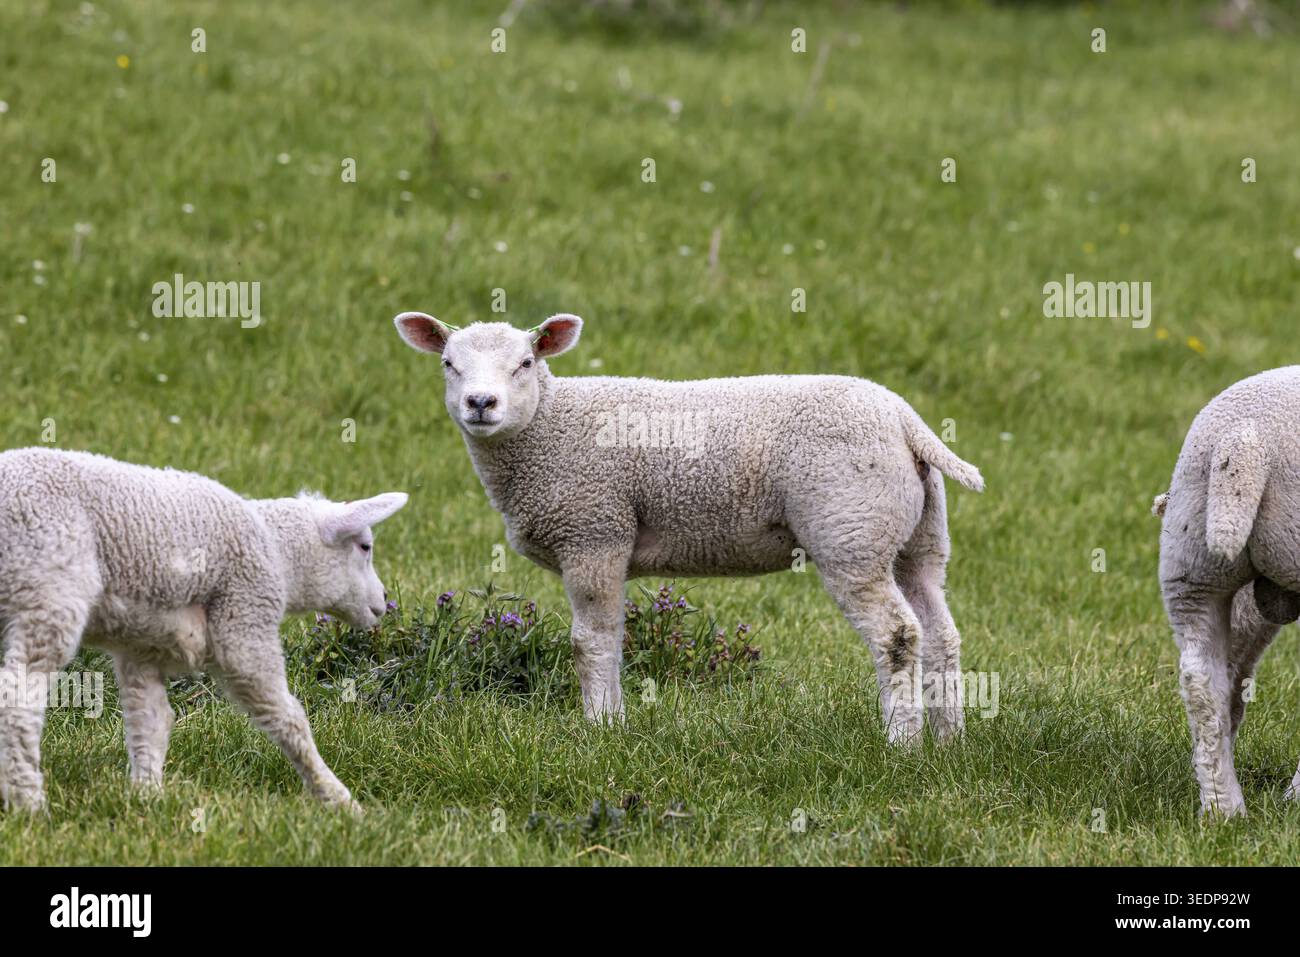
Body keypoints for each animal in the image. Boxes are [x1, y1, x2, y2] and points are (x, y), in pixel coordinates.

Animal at [0, 447, 407, 812]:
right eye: (365, 546)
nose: (384, 600)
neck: (279, 553)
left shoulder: (140, 648)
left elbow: (151, 721)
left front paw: (147, 797)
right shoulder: (245, 617)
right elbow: (287, 718)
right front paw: (338, 799)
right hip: (51, 584)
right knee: (18, 695)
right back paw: (28, 802)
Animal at [393, 311, 984, 742]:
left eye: (523, 362)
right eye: (448, 363)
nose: (480, 403)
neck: (548, 426)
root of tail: (904, 420)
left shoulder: (594, 531)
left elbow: (591, 642)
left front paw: (601, 729)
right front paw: (612, 723)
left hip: (851, 529)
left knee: (898, 634)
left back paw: (901, 744)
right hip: (917, 537)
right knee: (941, 632)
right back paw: (949, 740)